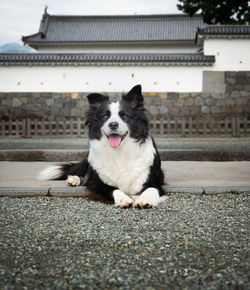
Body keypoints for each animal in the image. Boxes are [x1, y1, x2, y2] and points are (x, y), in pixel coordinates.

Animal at [39, 85, 167, 207]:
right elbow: (113, 189)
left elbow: (152, 189)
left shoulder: (155, 182)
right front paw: (123, 199)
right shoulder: (98, 185)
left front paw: (144, 200)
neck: (120, 151)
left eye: (124, 116)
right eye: (105, 116)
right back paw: (74, 179)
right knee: (83, 173)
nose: (113, 124)